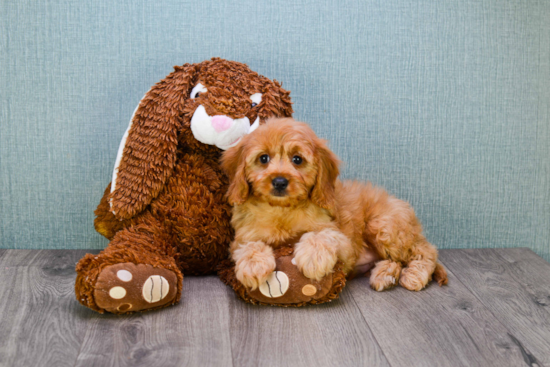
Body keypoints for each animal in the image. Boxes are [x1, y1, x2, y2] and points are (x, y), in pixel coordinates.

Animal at [220, 119, 448, 294]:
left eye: (297, 159)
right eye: (263, 158)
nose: (279, 181)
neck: (281, 210)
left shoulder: (341, 239)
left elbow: (319, 235)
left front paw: (313, 258)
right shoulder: (242, 237)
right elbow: (249, 246)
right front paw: (253, 265)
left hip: (385, 226)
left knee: (426, 251)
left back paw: (414, 275)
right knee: (397, 259)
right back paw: (385, 275)